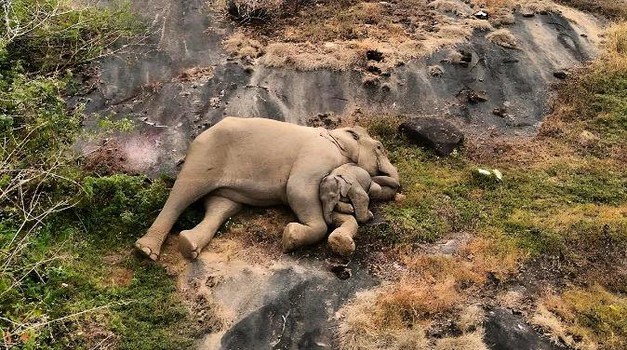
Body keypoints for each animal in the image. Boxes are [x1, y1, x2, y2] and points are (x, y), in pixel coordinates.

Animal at [135, 115, 400, 260]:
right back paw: (146, 251)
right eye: (380, 147)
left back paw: (188, 245)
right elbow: (298, 189)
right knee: (183, 193)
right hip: (205, 156)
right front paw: (290, 237)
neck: (335, 134)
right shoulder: (317, 155)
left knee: (221, 207)